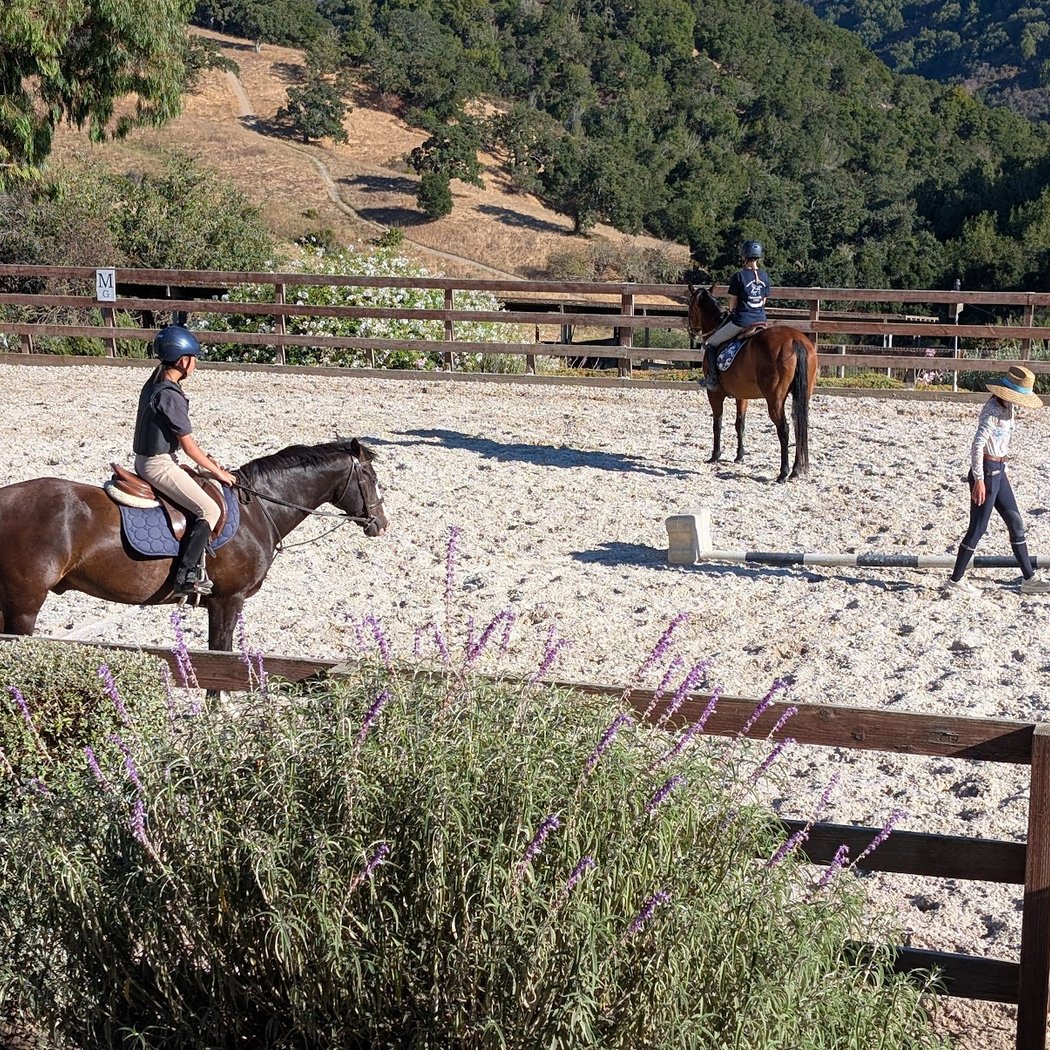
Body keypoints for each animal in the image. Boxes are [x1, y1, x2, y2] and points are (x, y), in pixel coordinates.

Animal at [0, 438, 388, 653]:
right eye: (370, 477)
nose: (381, 524)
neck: (257, 510)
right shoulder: (227, 600)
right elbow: (222, 654)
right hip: (25, 603)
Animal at [687, 284, 817, 482]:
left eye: (690, 305)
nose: (691, 331)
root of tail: (795, 340)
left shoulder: (714, 394)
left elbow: (717, 423)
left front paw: (715, 455)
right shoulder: (742, 395)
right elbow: (740, 423)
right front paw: (740, 455)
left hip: (774, 399)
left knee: (784, 429)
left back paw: (783, 472)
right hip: (803, 394)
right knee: (799, 425)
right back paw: (796, 470)